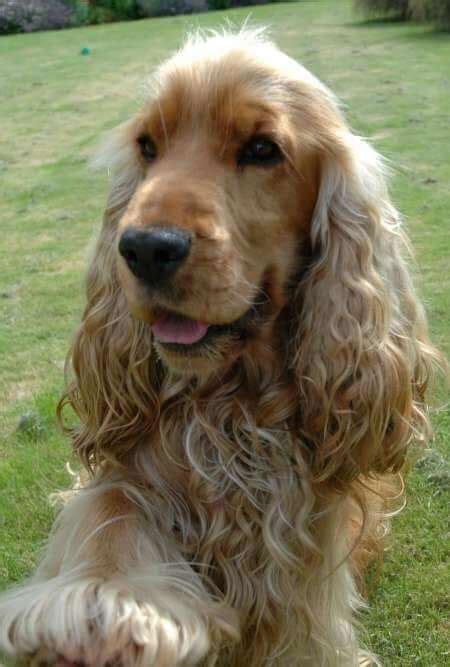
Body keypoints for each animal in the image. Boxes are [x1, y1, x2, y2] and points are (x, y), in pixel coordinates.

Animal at [0, 27, 438, 667]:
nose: (144, 247)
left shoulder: (305, 572)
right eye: (147, 146)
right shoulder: (127, 469)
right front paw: (106, 608)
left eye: (261, 149)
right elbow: (111, 510)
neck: (233, 402)